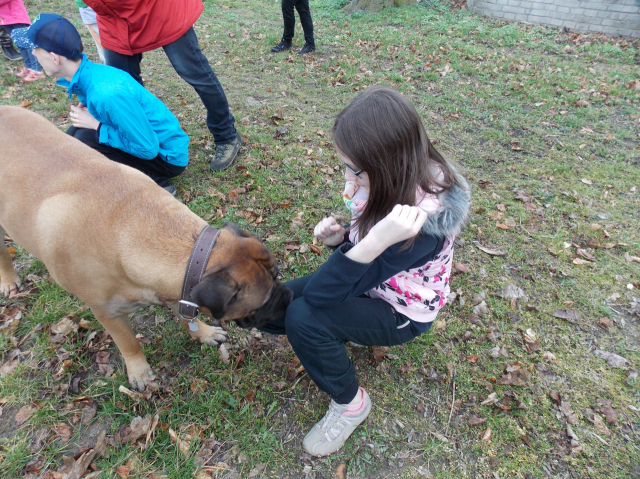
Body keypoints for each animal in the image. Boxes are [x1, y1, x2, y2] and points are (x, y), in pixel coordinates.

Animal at [0, 106, 292, 391]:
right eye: (263, 302)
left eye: (277, 277)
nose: (288, 297)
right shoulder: (106, 312)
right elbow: (129, 342)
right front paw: (139, 372)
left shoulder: (180, 290)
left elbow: (186, 317)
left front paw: (203, 333)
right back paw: (9, 280)